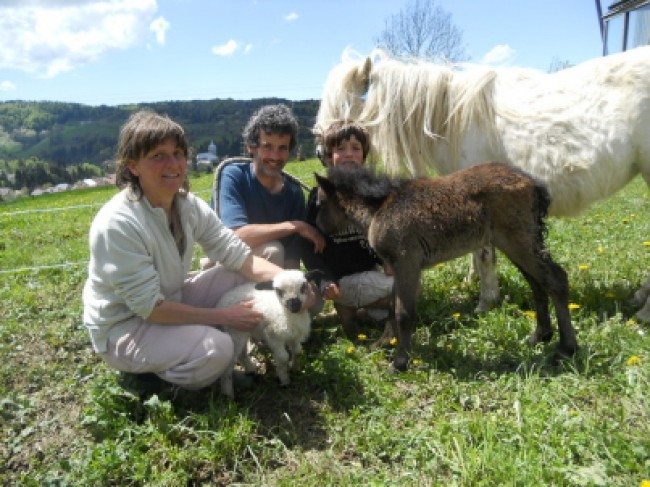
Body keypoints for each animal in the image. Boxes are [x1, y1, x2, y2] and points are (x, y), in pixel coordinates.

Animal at [216, 268, 320, 398]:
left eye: (303, 287)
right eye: (278, 291)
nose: (294, 306)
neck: (288, 316)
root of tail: (223, 299)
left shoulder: (294, 336)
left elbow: (297, 351)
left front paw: (294, 368)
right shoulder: (274, 337)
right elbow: (283, 357)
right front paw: (284, 380)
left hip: (243, 330)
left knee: (242, 354)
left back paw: (251, 370)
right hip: (234, 331)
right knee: (229, 364)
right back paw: (228, 394)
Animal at [316, 45, 648, 320]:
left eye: (345, 106)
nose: (321, 153)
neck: (451, 118)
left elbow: (484, 253)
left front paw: (486, 301)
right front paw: (473, 282)